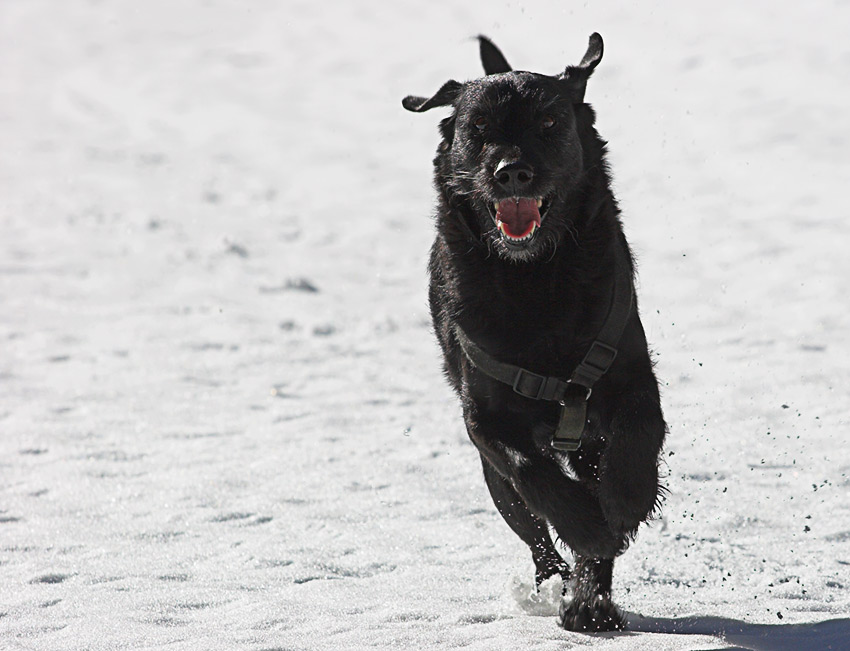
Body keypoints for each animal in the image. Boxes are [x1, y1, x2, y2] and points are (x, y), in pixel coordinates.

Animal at [400, 34, 664, 632]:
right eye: (477, 126)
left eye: (548, 122)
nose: (512, 172)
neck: (535, 278)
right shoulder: (486, 419)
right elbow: (532, 473)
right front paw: (587, 524)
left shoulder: (630, 369)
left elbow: (640, 427)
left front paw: (627, 500)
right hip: (497, 481)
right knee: (535, 529)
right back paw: (571, 589)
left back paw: (592, 603)